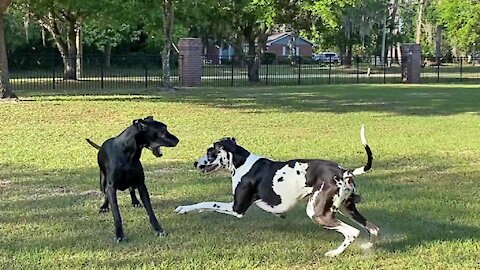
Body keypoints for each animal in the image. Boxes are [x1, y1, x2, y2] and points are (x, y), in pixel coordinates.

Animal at [175, 125, 378, 256]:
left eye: (210, 152)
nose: (195, 163)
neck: (241, 163)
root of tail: (344, 172)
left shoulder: (236, 208)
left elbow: (207, 202)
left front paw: (184, 209)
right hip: (348, 209)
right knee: (372, 229)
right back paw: (367, 247)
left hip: (318, 213)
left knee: (352, 232)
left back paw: (334, 253)